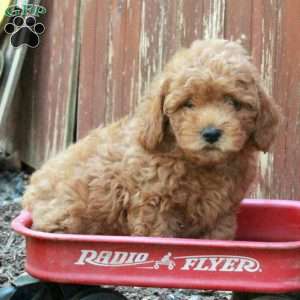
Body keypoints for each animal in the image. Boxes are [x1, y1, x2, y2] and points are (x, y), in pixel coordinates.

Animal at [22, 39, 282, 240]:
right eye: (188, 104)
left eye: (233, 103)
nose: (211, 133)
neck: (200, 165)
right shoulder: (154, 205)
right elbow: (159, 236)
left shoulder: (221, 212)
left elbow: (218, 237)